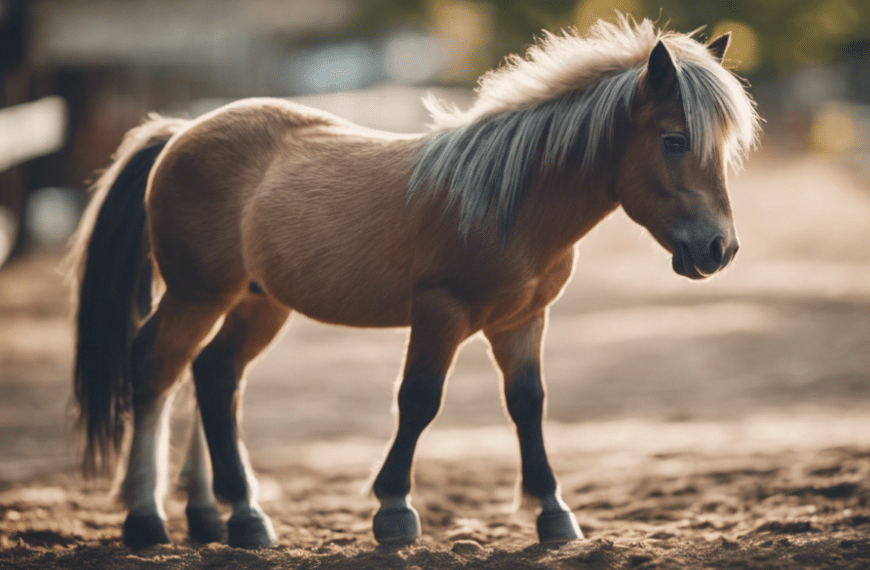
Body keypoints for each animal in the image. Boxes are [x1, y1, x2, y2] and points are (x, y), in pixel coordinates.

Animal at [68, 16, 760, 544]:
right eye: (674, 140)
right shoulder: (440, 312)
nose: (718, 249)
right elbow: (419, 399)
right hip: (198, 295)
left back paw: (230, 517)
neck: (508, 203)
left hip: (256, 304)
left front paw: (552, 512)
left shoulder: (522, 321)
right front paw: (394, 510)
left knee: (213, 376)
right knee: (157, 367)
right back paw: (148, 518)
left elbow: (528, 404)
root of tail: (180, 131)